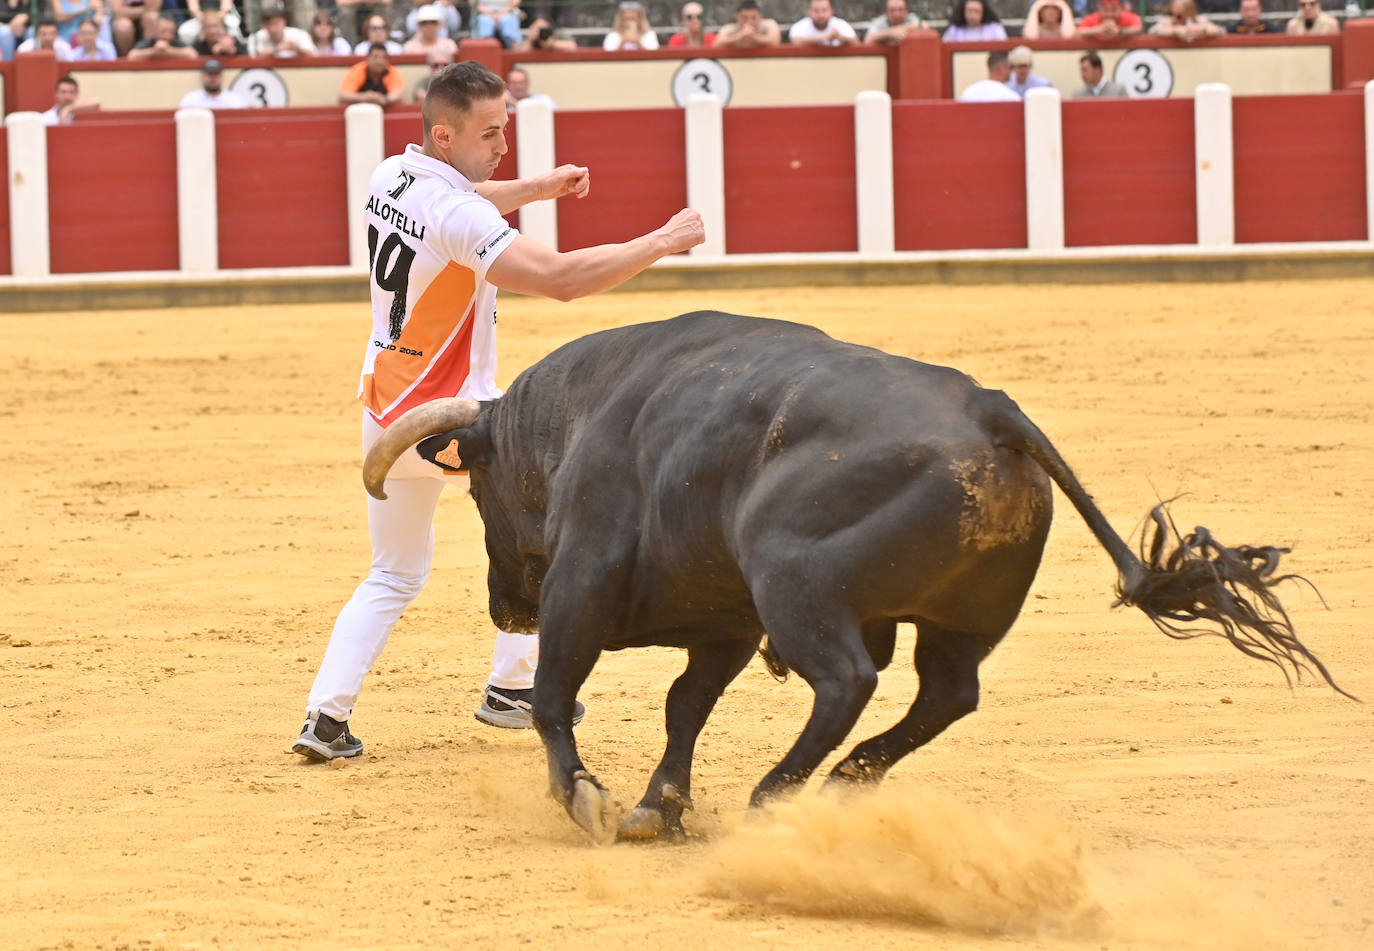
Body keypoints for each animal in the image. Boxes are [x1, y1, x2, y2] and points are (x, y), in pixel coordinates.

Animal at [359, 313, 1346, 846]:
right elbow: (684, 706)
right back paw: (839, 783)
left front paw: (591, 800)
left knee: (846, 680)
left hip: (793, 582)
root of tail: (992, 408)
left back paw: (776, 793)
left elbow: (558, 696)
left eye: (476, 484)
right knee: (945, 693)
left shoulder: (584, 584)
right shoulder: (726, 621)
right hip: (959, 618)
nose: (508, 606)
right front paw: (657, 806)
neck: (574, 415)